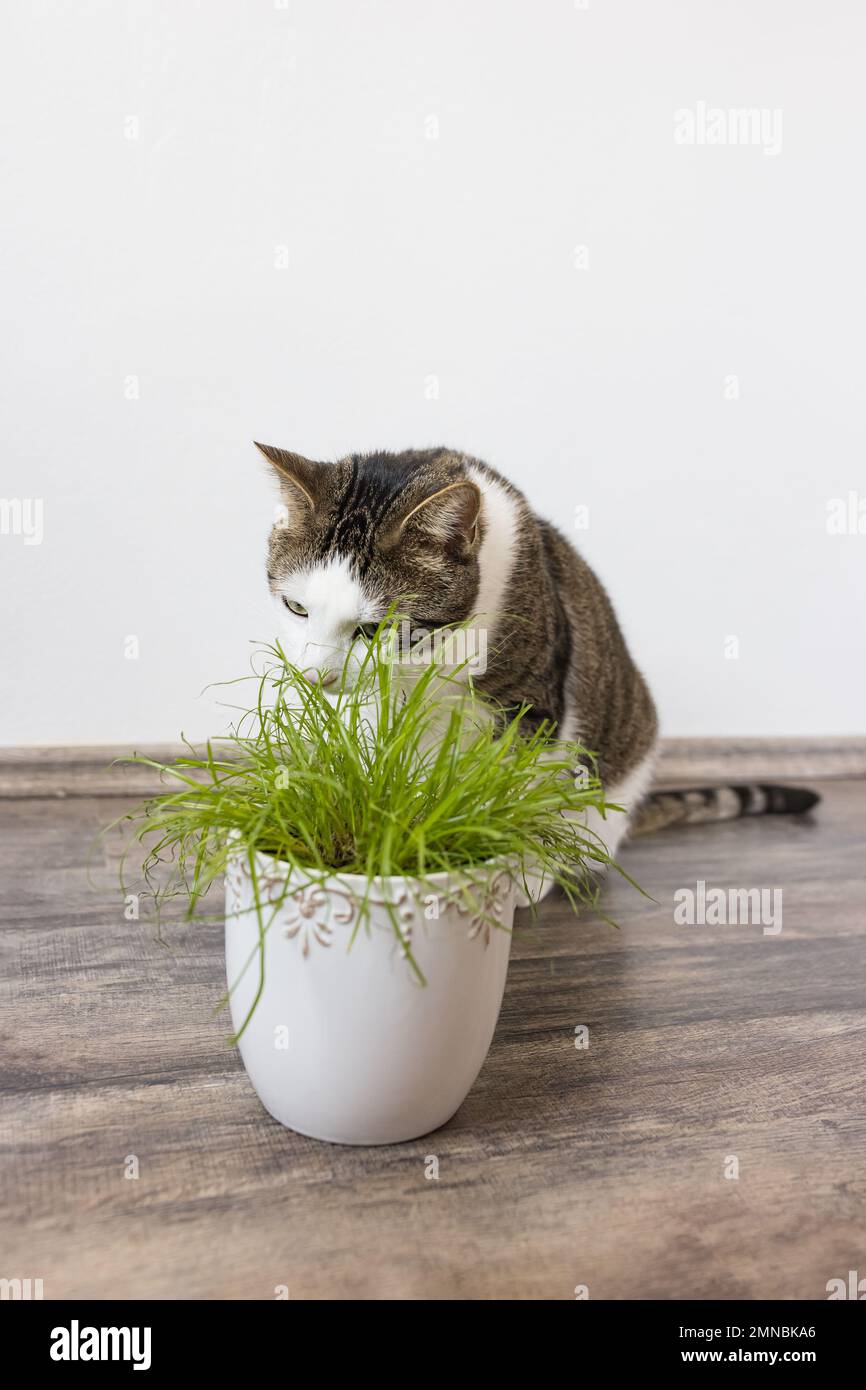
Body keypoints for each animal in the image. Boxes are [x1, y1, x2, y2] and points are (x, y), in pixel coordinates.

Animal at [255, 436, 817, 889]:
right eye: (297, 608)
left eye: (374, 630)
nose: (317, 676)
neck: (434, 659)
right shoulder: (379, 708)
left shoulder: (530, 707)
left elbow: (506, 796)